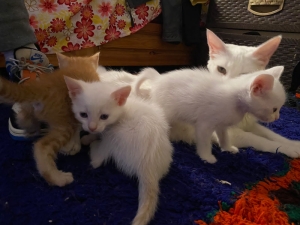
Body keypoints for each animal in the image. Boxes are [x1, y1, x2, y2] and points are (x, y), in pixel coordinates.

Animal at [0, 52, 101, 186]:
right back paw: (58, 178)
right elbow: (79, 126)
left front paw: (72, 145)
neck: (79, 66)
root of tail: (44, 86)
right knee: (42, 147)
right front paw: (72, 146)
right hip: (64, 124)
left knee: (22, 116)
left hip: (29, 107)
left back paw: (30, 129)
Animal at [64, 77, 172, 225]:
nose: (91, 127)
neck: (122, 109)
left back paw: (92, 146)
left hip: (118, 134)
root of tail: (148, 163)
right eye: (83, 115)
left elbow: (101, 138)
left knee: (97, 161)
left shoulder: (110, 129)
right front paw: (92, 134)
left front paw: (90, 137)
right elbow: (100, 132)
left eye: (104, 116)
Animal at [135, 66, 286, 163]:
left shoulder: (222, 125)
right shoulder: (204, 125)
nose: (277, 117)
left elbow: (224, 137)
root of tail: (158, 78)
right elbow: (204, 142)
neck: (235, 101)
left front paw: (227, 148)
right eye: (274, 109)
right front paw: (206, 157)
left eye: (279, 109)